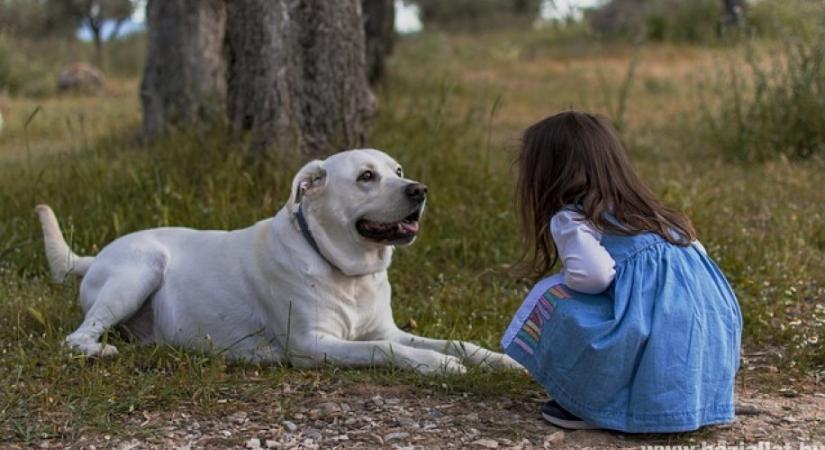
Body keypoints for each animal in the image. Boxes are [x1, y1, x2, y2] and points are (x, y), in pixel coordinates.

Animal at [37, 149, 520, 374]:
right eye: (366, 176)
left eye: (398, 171)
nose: (419, 190)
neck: (347, 271)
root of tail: (94, 256)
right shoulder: (313, 344)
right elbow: (386, 350)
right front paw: (438, 365)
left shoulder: (387, 328)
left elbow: (455, 342)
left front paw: (499, 361)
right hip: (140, 269)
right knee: (75, 338)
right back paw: (100, 351)